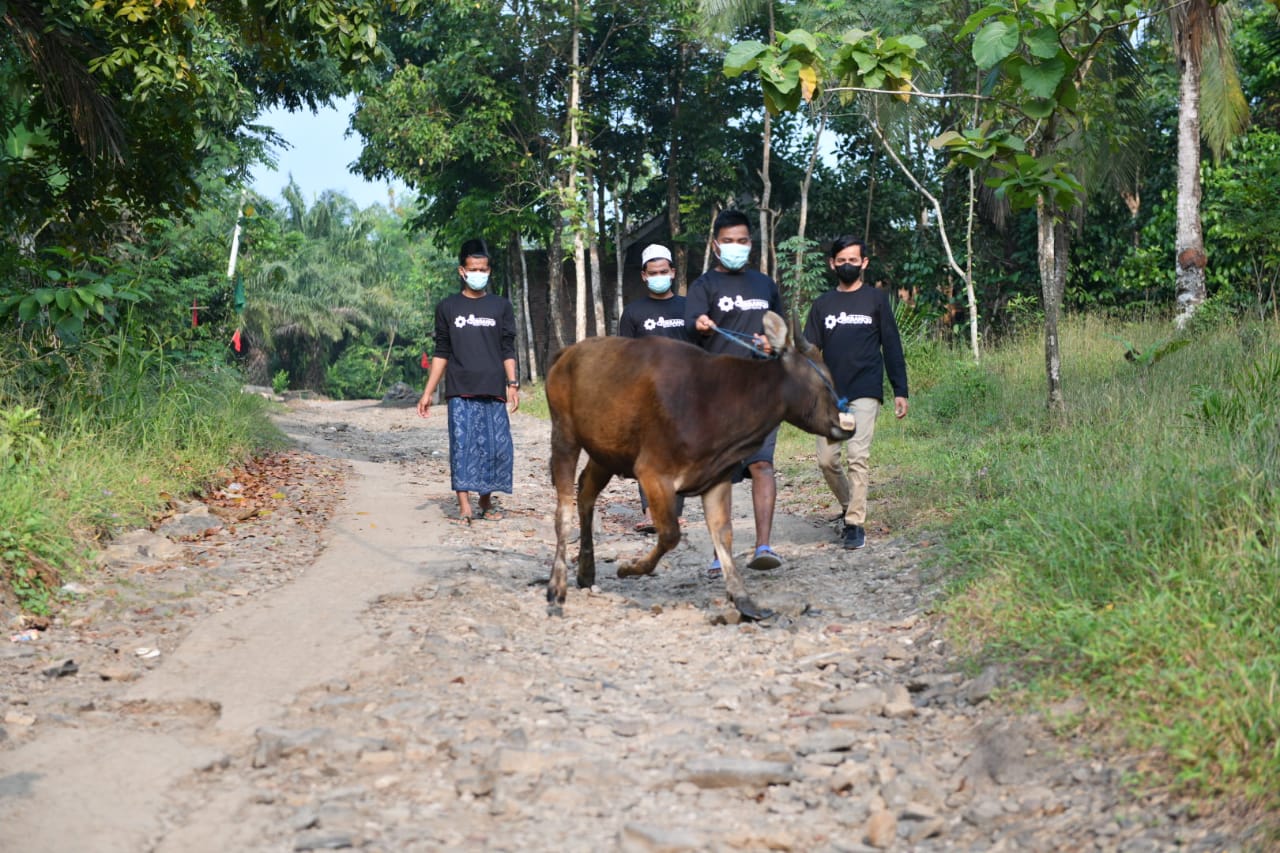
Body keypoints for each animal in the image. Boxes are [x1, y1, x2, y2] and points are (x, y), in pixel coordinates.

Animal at [545, 308, 855, 614]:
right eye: (822, 380)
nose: (845, 426)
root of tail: (565, 353)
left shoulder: (716, 476)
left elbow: (723, 534)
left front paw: (743, 599)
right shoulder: (652, 471)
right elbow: (671, 533)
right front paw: (630, 568)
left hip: (607, 452)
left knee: (585, 493)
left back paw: (586, 572)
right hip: (564, 434)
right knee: (563, 509)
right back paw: (556, 588)